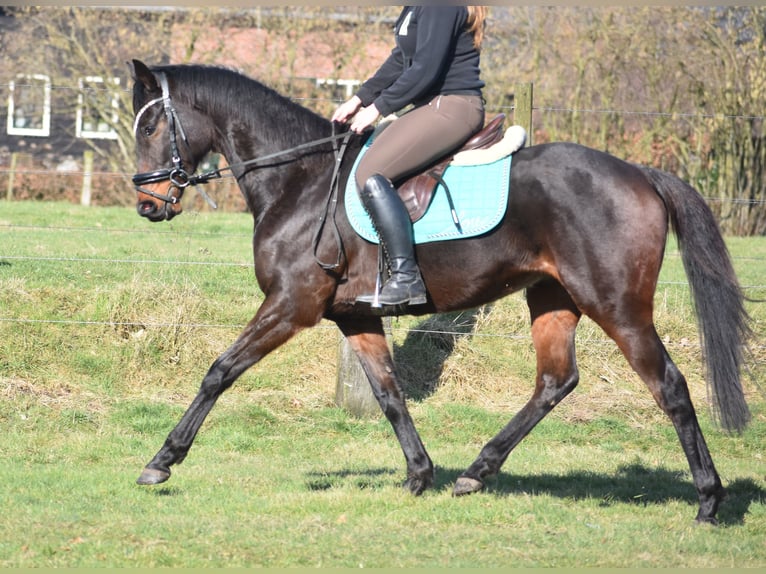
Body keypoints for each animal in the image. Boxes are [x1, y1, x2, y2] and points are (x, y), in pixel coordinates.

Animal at [127, 59, 752, 528]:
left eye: (150, 127)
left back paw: (708, 500)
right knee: (555, 381)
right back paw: (477, 471)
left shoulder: (291, 305)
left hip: (617, 307)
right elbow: (388, 394)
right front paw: (419, 474)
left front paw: (162, 461)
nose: (147, 205)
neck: (300, 181)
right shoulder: (355, 317)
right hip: (554, 298)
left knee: (669, 385)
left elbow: (219, 371)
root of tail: (640, 174)